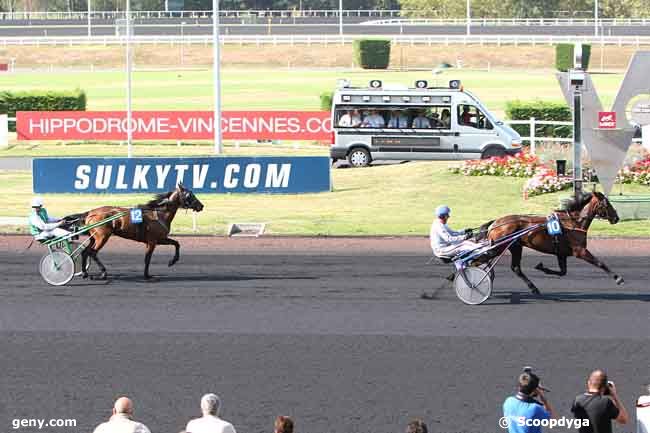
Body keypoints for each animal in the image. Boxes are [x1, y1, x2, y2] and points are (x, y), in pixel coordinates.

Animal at [476, 192, 624, 294]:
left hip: (515, 247)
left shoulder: (561, 254)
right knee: (479, 260)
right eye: (606, 204)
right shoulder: (580, 251)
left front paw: (542, 267)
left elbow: (562, 272)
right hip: (498, 247)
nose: (616, 218)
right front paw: (618, 278)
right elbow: (600, 263)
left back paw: (533, 288)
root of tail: (495, 223)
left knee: (516, 268)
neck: (574, 223)